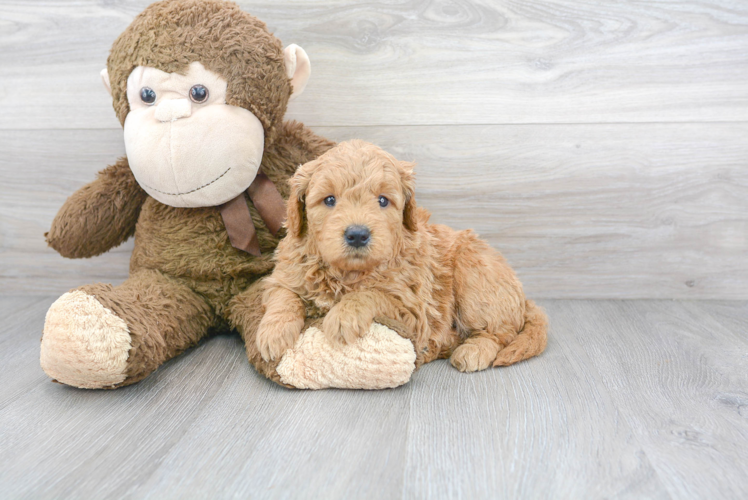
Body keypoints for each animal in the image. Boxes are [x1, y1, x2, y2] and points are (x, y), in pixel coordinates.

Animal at [258, 140, 548, 372]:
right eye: (329, 200)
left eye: (383, 201)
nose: (357, 235)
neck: (348, 273)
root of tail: (523, 298)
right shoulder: (284, 275)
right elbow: (284, 296)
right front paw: (273, 333)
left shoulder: (413, 310)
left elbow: (370, 294)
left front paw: (343, 316)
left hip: (475, 278)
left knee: (500, 333)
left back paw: (472, 350)